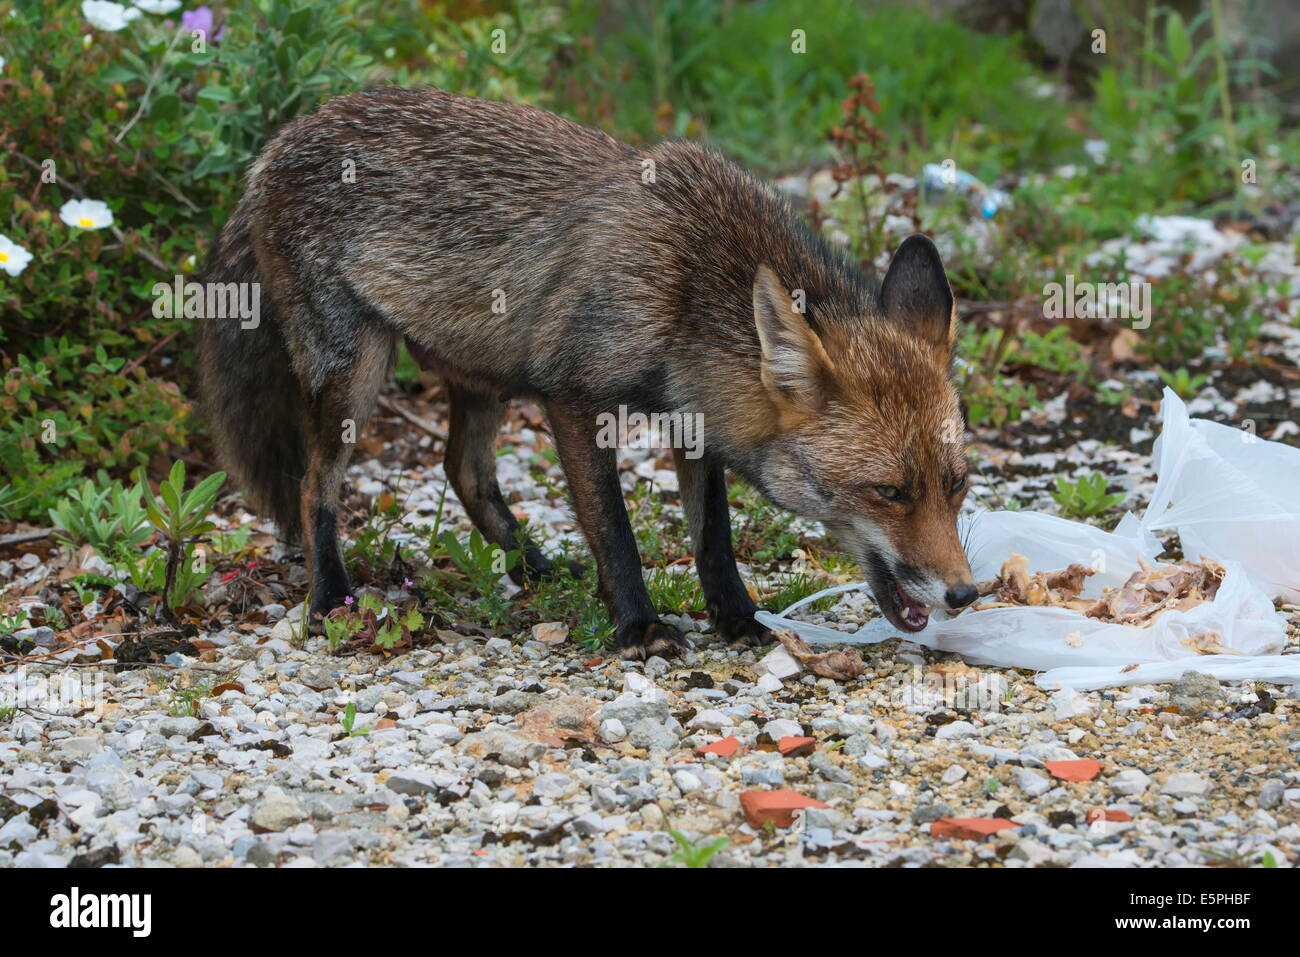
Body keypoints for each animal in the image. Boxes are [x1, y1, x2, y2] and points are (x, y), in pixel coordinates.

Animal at [195, 87, 977, 657]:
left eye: (957, 485)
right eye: (889, 492)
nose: (966, 595)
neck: (688, 277)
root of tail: (281, 138)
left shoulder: (693, 416)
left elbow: (713, 538)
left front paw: (737, 619)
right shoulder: (573, 398)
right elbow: (615, 531)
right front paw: (638, 625)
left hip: (483, 375)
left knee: (463, 471)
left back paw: (535, 570)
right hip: (355, 373)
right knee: (313, 485)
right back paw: (330, 597)